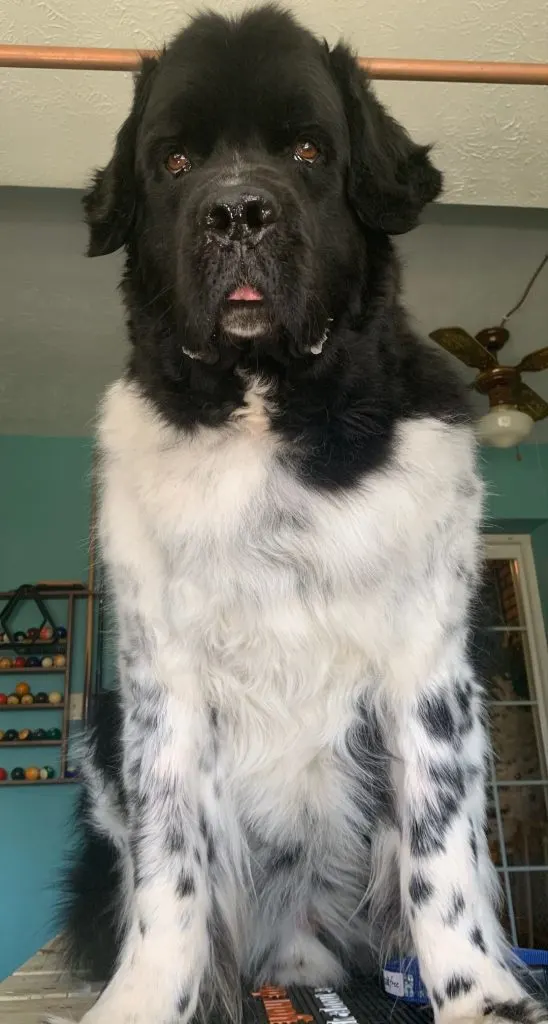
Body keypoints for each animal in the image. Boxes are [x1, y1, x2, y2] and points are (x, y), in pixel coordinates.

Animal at [52, 6, 548, 1024]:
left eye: (311, 150)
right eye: (174, 161)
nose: (237, 212)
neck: (266, 405)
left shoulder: (430, 661)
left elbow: (441, 853)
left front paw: (480, 994)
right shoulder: (158, 677)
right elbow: (171, 867)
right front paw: (145, 996)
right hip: (99, 736)